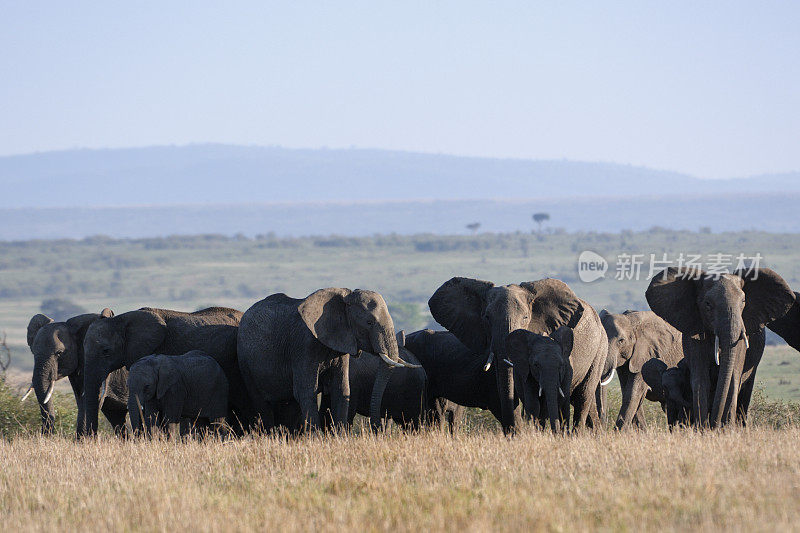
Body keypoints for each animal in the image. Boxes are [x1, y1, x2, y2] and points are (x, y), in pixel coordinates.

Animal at [236, 286, 418, 432]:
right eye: (369, 322)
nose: (379, 426)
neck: (343, 300)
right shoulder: (303, 346)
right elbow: (307, 391)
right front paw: (315, 440)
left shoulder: (341, 345)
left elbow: (342, 389)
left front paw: (340, 438)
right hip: (245, 362)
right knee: (262, 404)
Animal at [648, 268, 796, 426]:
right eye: (707, 304)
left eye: (743, 301)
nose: (715, 424)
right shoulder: (693, 333)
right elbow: (701, 379)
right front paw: (702, 428)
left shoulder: (740, 341)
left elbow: (733, 379)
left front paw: (725, 428)